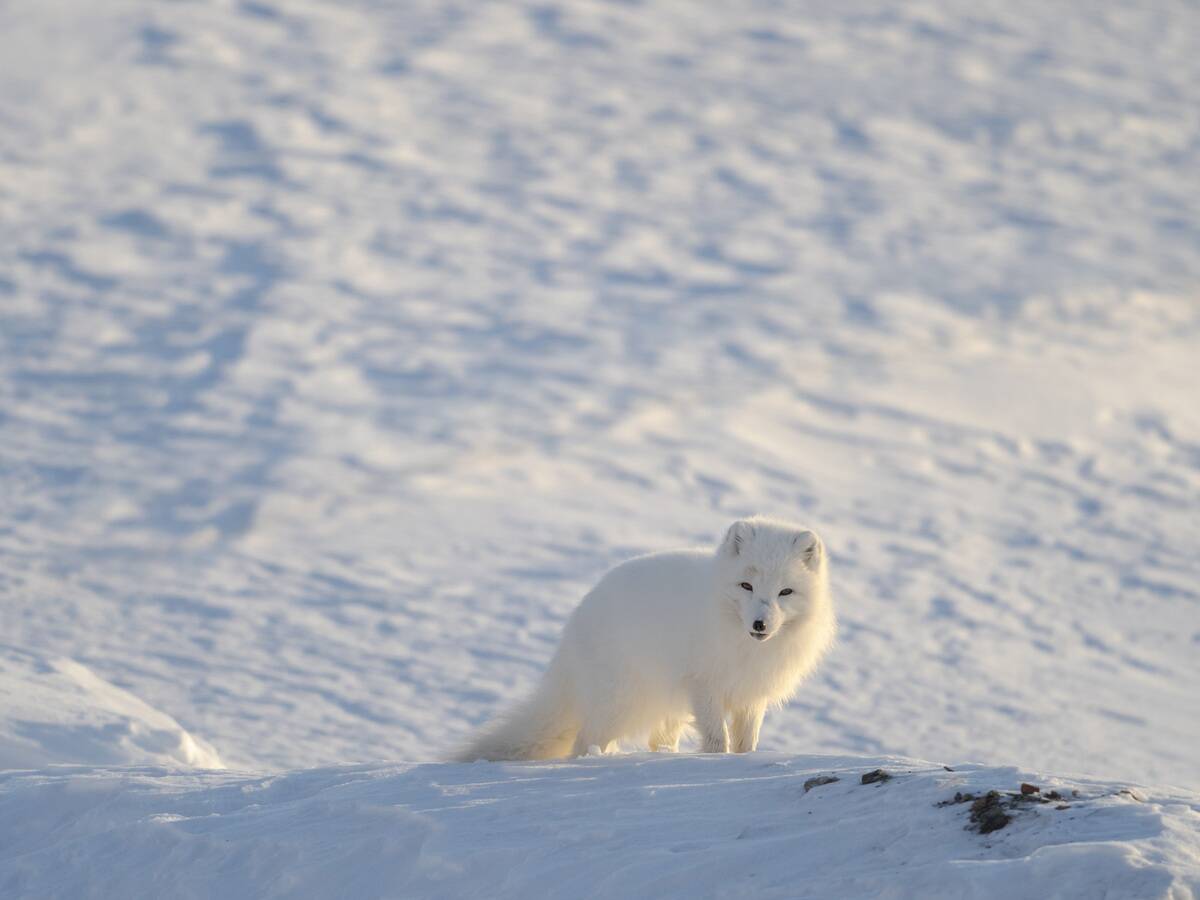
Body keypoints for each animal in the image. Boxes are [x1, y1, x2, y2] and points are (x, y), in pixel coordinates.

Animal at [454, 517, 836, 761]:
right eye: (746, 585)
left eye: (785, 592)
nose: (760, 624)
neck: (743, 645)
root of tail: (576, 620)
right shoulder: (703, 685)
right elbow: (717, 739)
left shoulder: (751, 694)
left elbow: (746, 741)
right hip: (622, 703)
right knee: (584, 742)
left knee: (656, 741)